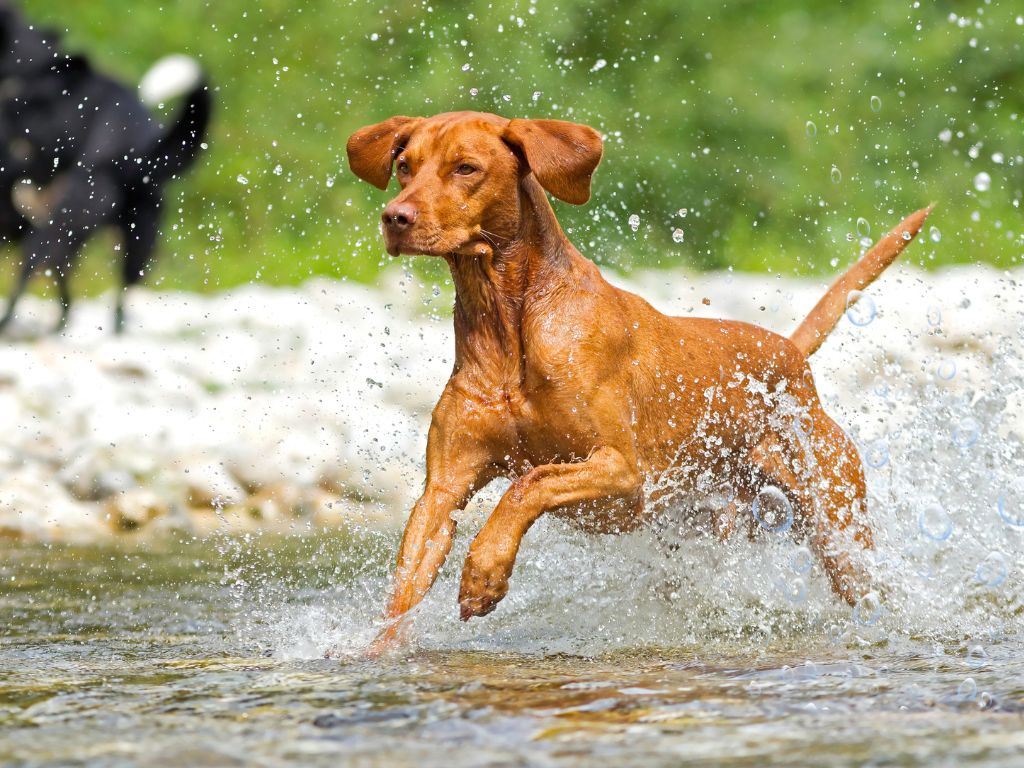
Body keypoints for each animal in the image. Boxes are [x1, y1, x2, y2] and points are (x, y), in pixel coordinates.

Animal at [348, 109, 933, 651]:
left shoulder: (621, 470)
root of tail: (791, 352)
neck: (506, 323)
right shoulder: (442, 490)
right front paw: (376, 653)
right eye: (405, 166)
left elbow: (526, 485)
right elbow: (404, 588)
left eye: (466, 168)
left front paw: (484, 570)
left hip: (839, 530)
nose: (394, 218)